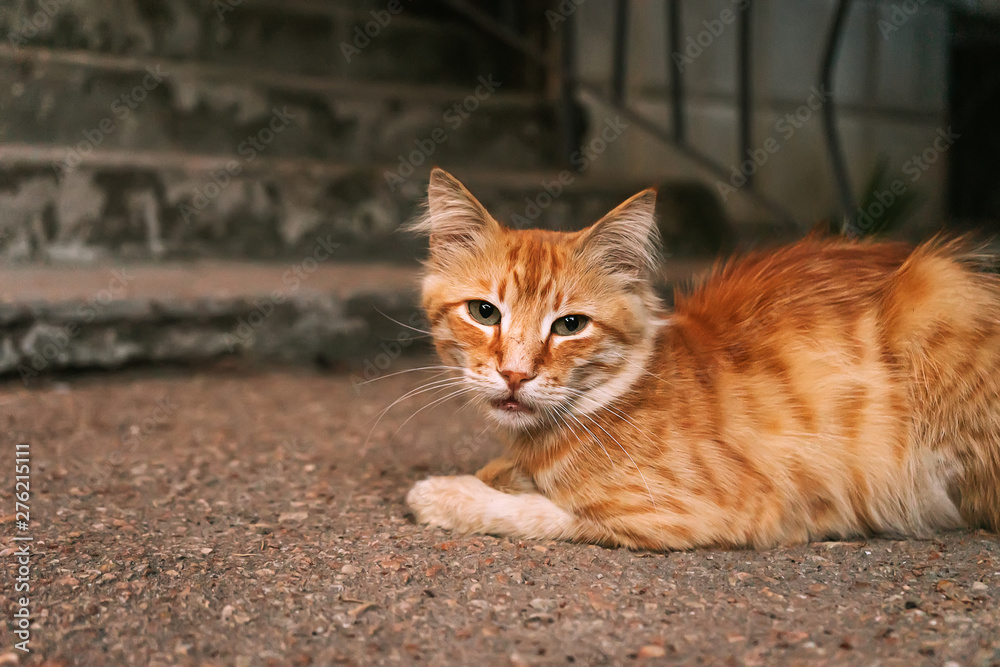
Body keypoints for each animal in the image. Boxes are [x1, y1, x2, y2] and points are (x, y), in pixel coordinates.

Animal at [404, 167, 1000, 548]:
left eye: (570, 325)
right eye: (484, 312)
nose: (514, 374)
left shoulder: (693, 513)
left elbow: (538, 511)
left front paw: (445, 495)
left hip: (939, 299)